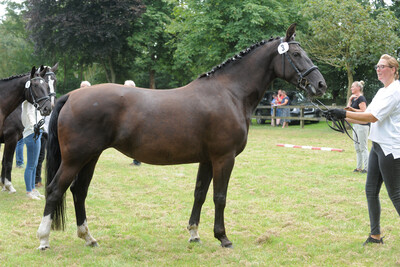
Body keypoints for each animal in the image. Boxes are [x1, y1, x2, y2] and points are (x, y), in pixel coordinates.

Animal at [0, 64, 57, 193]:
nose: (48, 108)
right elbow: (8, 162)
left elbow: (4, 161)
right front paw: (9, 185)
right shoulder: (11, 138)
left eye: (53, 82)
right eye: (35, 85)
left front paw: (3, 185)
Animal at [36, 24, 324, 251]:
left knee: (78, 191)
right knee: (55, 190)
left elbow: (200, 194)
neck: (229, 92)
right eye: (296, 54)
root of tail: (71, 95)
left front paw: (194, 234)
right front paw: (223, 238)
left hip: (90, 157)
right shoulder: (224, 158)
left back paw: (89, 238)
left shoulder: (207, 159)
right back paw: (44, 239)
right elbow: (220, 196)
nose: (320, 85)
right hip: (76, 158)